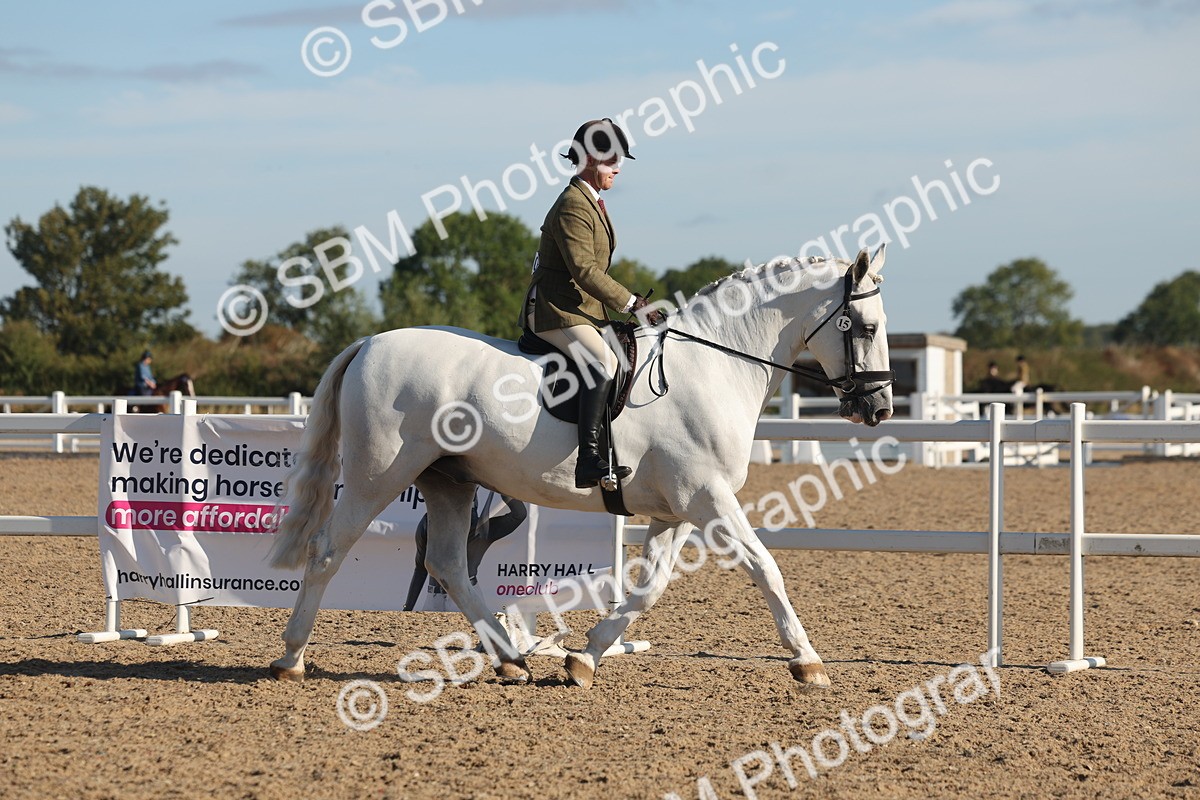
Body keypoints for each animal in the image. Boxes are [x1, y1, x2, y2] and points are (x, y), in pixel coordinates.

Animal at [268, 246, 894, 689]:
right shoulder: (709, 498)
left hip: (449, 481)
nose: (880, 408)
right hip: (379, 475)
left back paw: (511, 659)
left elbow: (647, 590)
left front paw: (585, 658)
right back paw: (291, 657)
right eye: (864, 328)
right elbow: (766, 567)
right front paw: (808, 662)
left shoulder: (678, 510)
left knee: (447, 564)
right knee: (328, 551)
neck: (715, 366)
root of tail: (369, 343)